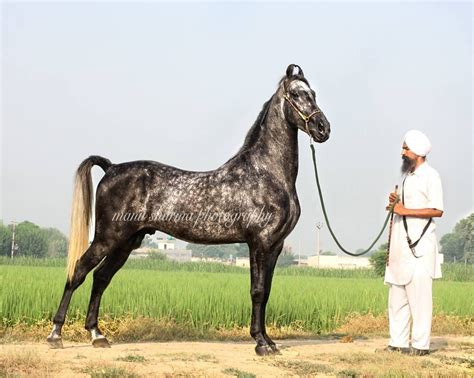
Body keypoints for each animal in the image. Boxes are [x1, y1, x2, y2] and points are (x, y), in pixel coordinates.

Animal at [47, 63, 330, 356]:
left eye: (313, 93)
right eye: (296, 94)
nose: (323, 128)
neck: (265, 173)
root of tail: (111, 168)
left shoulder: (275, 245)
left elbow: (267, 291)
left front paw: (269, 341)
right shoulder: (259, 243)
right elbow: (258, 290)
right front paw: (260, 343)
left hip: (126, 242)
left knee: (101, 277)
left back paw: (97, 335)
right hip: (107, 237)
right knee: (79, 271)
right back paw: (56, 334)